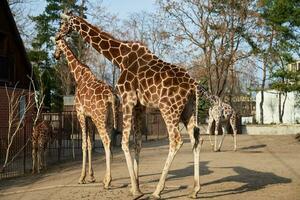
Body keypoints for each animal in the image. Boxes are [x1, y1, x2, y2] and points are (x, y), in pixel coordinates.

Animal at [52, 36, 118, 188]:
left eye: (56, 44)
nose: (55, 55)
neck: (78, 75)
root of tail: (111, 96)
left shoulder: (80, 114)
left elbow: (83, 144)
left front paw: (82, 177)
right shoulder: (89, 117)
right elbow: (90, 143)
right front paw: (91, 176)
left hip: (99, 119)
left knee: (106, 141)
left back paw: (108, 181)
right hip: (109, 119)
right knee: (112, 141)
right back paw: (107, 178)